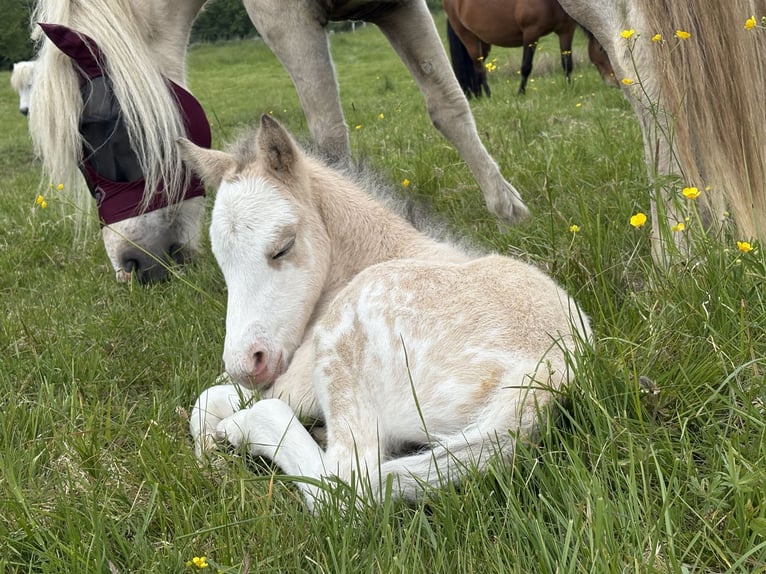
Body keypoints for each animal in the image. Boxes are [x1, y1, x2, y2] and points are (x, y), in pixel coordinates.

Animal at [185, 115, 592, 510]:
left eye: (283, 247)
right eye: (221, 262)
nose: (246, 364)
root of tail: (547, 372)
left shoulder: (295, 386)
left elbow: (211, 396)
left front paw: (216, 449)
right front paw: (211, 462)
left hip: (342, 349)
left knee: (345, 486)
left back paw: (243, 429)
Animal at [444, 0, 618, 96]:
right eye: (603, 50)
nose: (615, 83)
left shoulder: (566, 31)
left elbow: (567, 63)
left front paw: (569, 88)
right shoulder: (531, 33)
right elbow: (526, 66)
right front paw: (520, 93)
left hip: (483, 42)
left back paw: (477, 94)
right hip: (468, 37)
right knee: (479, 67)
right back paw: (488, 95)